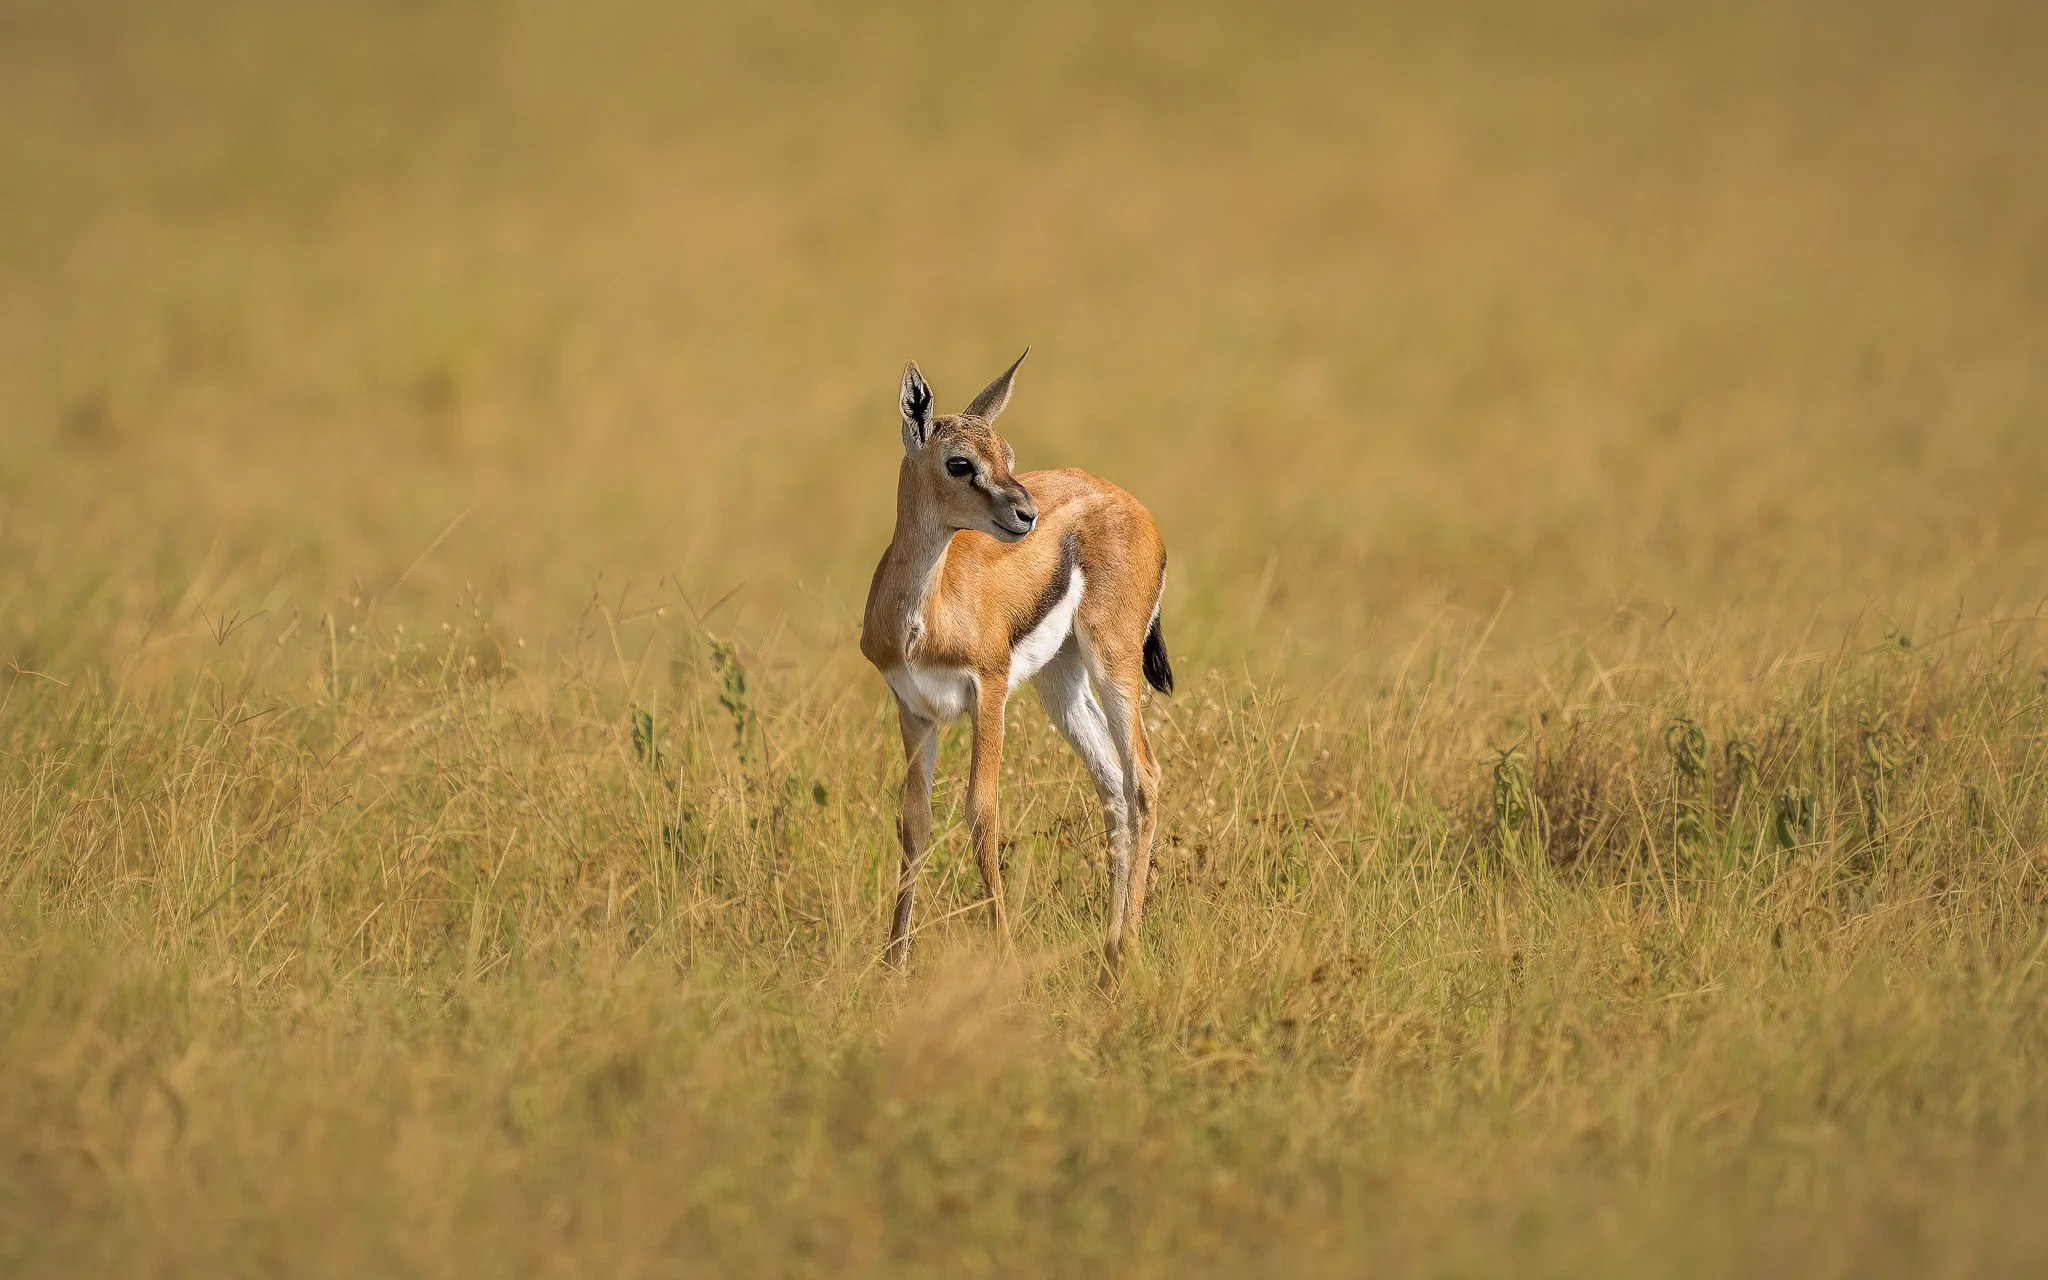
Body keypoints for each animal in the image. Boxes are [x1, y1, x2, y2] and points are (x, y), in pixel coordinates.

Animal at [860, 351, 1172, 973]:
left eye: (1008, 455)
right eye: (959, 462)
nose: (1027, 515)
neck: (921, 619)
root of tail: (1136, 508)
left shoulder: (989, 691)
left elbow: (982, 814)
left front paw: (1004, 955)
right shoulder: (914, 711)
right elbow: (915, 822)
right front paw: (892, 963)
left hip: (1114, 664)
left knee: (1144, 777)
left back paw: (1126, 952)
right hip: (1061, 682)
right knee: (1113, 785)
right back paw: (1107, 956)